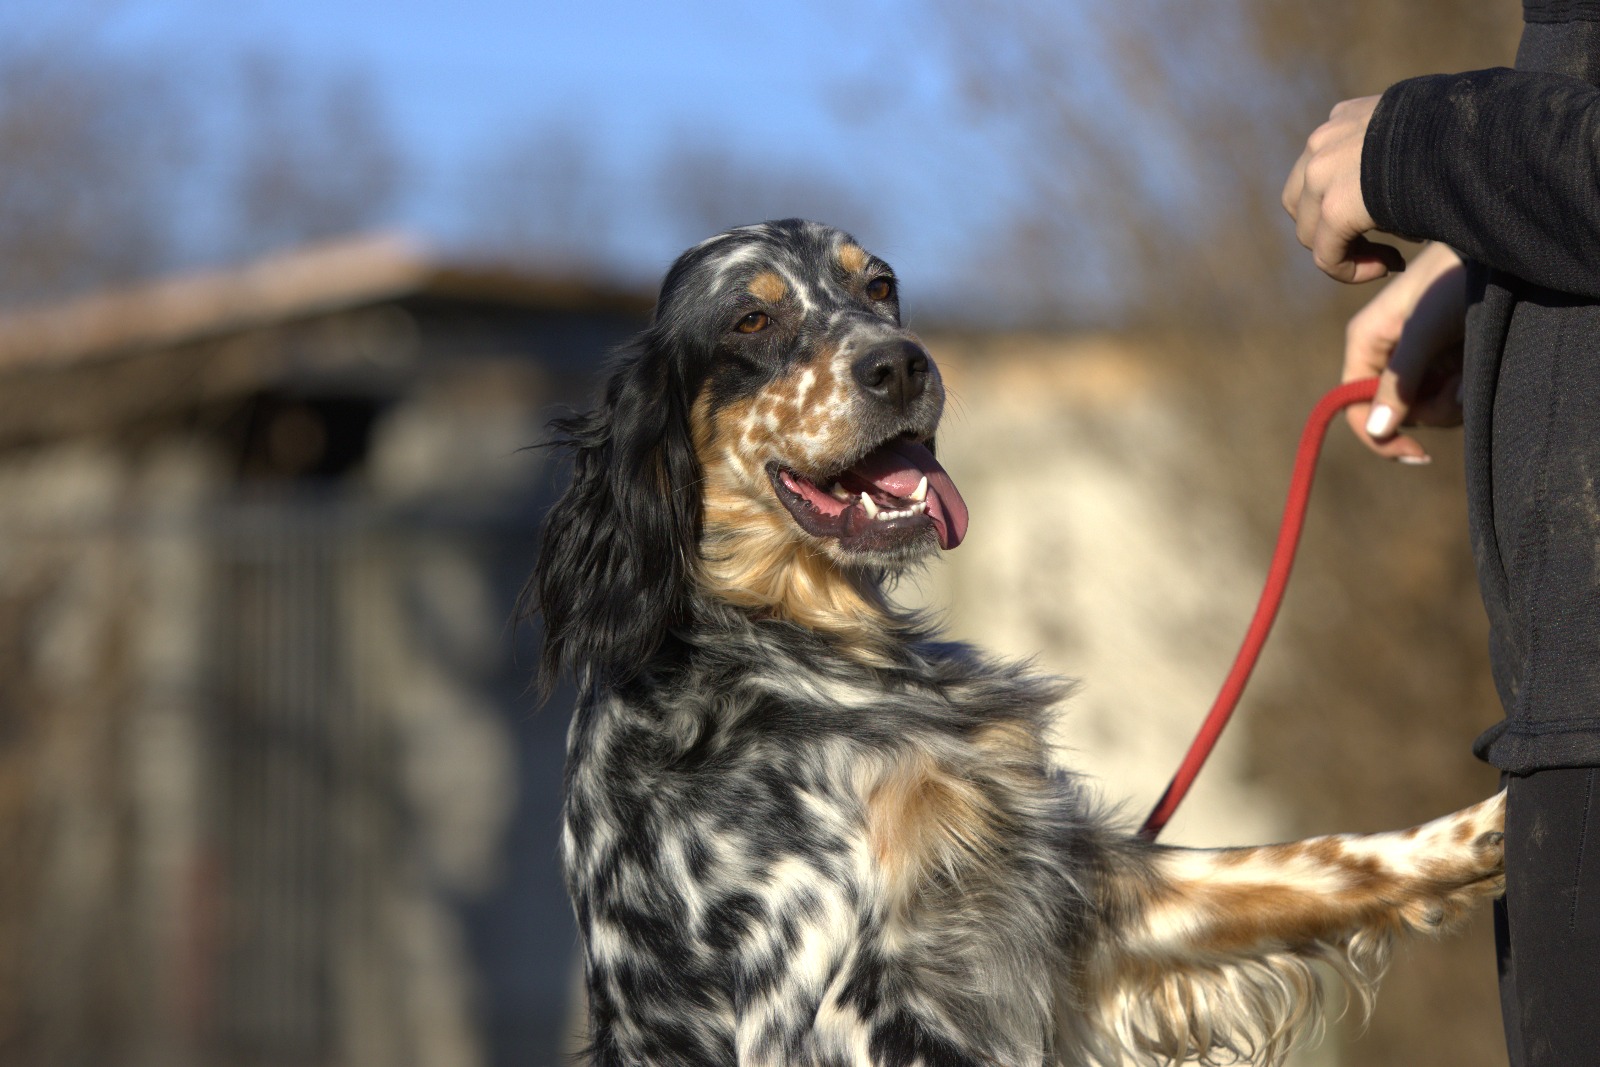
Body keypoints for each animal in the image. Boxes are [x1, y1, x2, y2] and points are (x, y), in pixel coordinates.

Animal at [531, 219, 1505, 1066]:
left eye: (879, 286)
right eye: (752, 320)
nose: (900, 362)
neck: (801, 634)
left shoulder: (1073, 897)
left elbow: (1314, 865)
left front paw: (1488, 827)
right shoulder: (830, 1004)